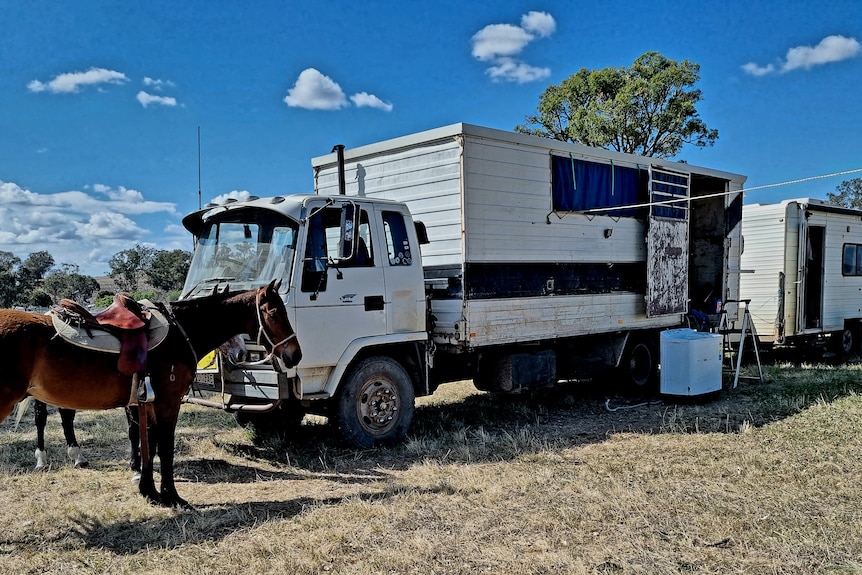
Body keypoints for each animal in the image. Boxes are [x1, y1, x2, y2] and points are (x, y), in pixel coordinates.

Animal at [0, 282, 300, 506]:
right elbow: (163, 447)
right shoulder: (167, 402)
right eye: (274, 313)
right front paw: (171, 496)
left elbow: (149, 443)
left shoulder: (148, 403)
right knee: (45, 418)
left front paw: (149, 490)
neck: (179, 333)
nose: (294, 354)